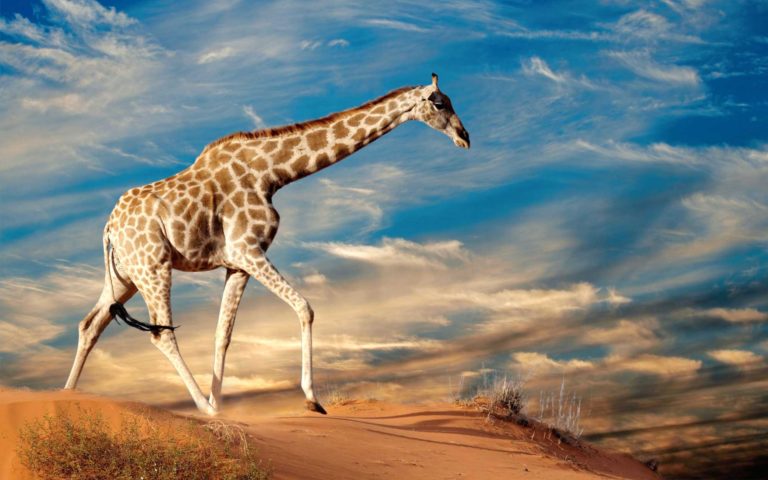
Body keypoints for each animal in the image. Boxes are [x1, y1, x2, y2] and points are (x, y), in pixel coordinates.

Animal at [63, 73, 470, 416]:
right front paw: (311, 400)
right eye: (439, 103)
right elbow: (305, 307)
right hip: (153, 266)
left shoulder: (236, 264)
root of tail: (108, 228)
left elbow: (223, 335)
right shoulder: (248, 249)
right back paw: (203, 410)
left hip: (125, 275)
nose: (465, 136)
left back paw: (67, 396)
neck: (273, 174)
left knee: (90, 325)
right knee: (161, 334)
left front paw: (223, 403)